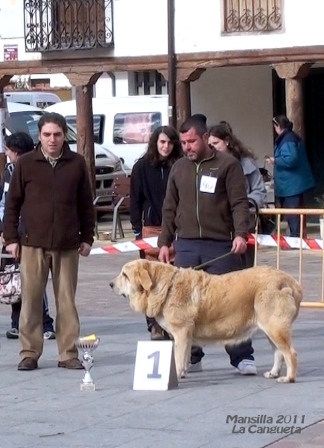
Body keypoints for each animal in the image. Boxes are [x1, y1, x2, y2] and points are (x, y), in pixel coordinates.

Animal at [110, 260, 302, 384]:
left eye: (125, 275)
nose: (111, 284)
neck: (165, 287)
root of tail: (291, 281)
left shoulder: (181, 332)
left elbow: (178, 357)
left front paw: (177, 375)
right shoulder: (186, 336)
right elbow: (185, 356)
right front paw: (184, 372)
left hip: (275, 327)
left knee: (290, 353)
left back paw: (289, 378)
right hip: (270, 329)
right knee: (279, 353)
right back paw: (274, 373)